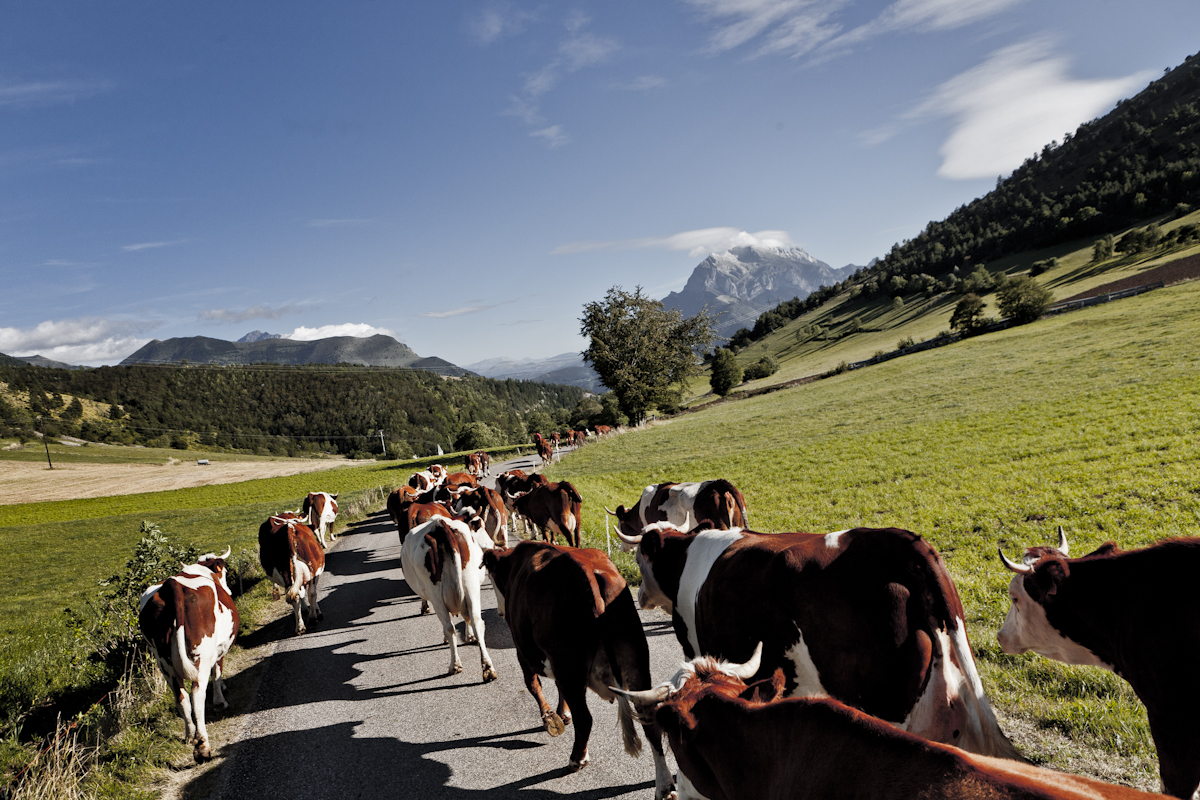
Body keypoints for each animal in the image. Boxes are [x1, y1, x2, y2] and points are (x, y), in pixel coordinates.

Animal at [138, 551, 238, 762]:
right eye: (224, 573)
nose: (230, 591)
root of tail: (171, 584)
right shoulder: (219, 649)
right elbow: (217, 673)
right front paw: (220, 701)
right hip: (201, 656)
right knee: (197, 695)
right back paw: (202, 746)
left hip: (164, 664)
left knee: (181, 698)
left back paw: (190, 735)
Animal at [400, 513, 499, 681]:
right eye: (479, 528)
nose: (492, 544)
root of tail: (440, 525)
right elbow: (467, 619)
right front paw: (470, 637)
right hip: (471, 585)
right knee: (477, 622)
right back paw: (488, 668)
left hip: (436, 595)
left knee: (449, 627)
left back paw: (455, 665)